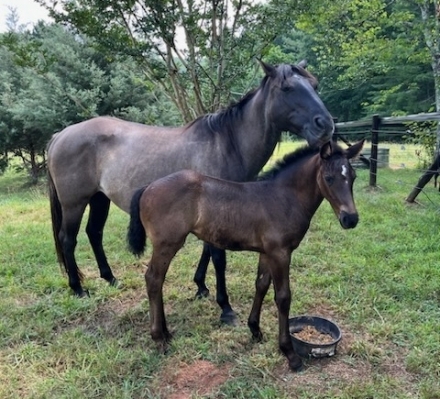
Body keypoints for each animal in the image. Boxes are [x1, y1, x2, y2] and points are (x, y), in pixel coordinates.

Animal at [46, 60, 334, 324]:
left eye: (315, 84)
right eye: (287, 88)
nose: (326, 124)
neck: (226, 144)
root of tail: (61, 135)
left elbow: (208, 251)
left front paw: (201, 286)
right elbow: (218, 257)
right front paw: (225, 307)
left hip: (99, 199)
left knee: (94, 233)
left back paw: (110, 278)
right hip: (74, 203)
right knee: (68, 239)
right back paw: (78, 288)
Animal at [126, 141, 364, 372]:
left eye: (353, 177)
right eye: (329, 178)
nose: (350, 219)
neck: (283, 198)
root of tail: (147, 187)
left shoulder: (267, 253)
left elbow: (261, 285)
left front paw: (255, 330)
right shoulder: (281, 253)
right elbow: (283, 297)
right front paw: (290, 353)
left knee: (158, 281)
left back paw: (166, 333)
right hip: (167, 244)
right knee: (154, 279)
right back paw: (159, 338)